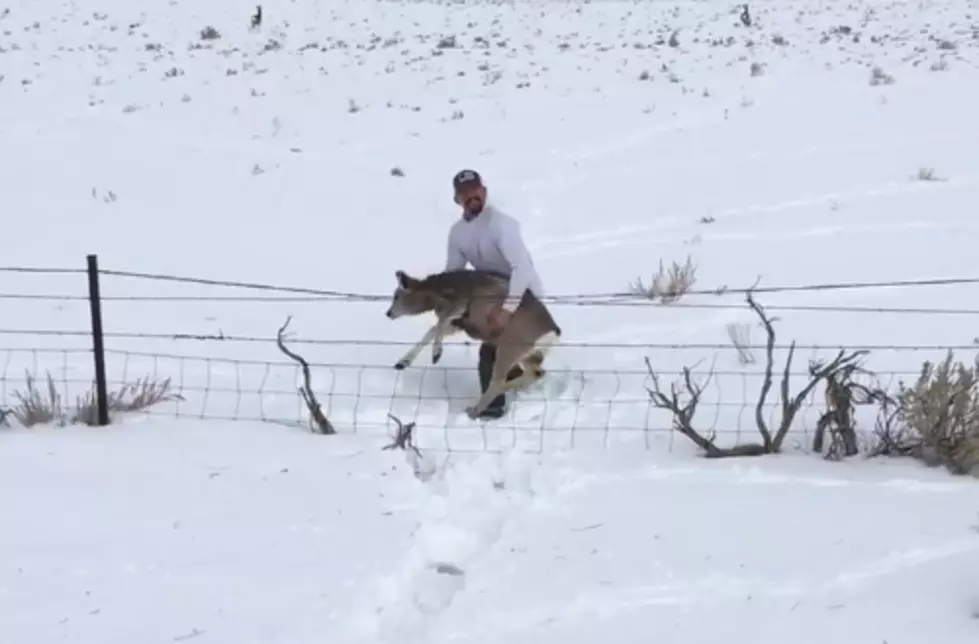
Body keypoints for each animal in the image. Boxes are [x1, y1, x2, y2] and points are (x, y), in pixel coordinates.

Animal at [384, 270, 564, 420]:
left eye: (397, 296)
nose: (388, 313)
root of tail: (554, 333)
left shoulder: (464, 308)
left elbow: (441, 322)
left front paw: (436, 354)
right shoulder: (461, 323)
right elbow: (433, 329)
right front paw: (403, 362)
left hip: (510, 345)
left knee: (499, 380)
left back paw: (474, 410)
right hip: (528, 354)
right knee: (536, 373)